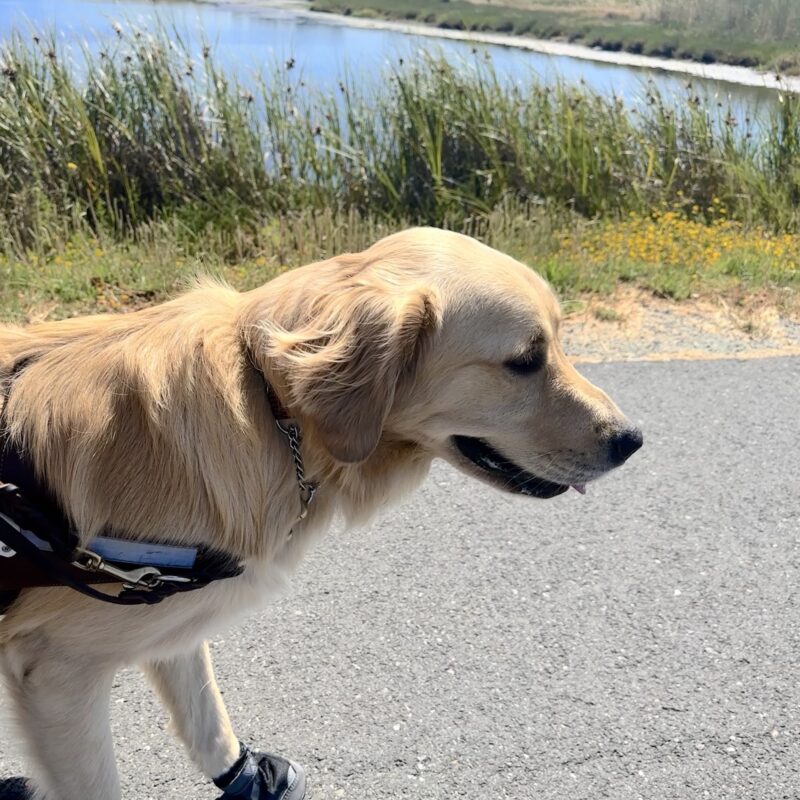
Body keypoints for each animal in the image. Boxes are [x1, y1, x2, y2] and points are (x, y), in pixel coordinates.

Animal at [0, 225, 636, 800]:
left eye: (559, 342)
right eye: (525, 360)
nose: (632, 440)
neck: (268, 408)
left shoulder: (167, 619)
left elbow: (207, 714)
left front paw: (246, 777)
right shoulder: (57, 673)